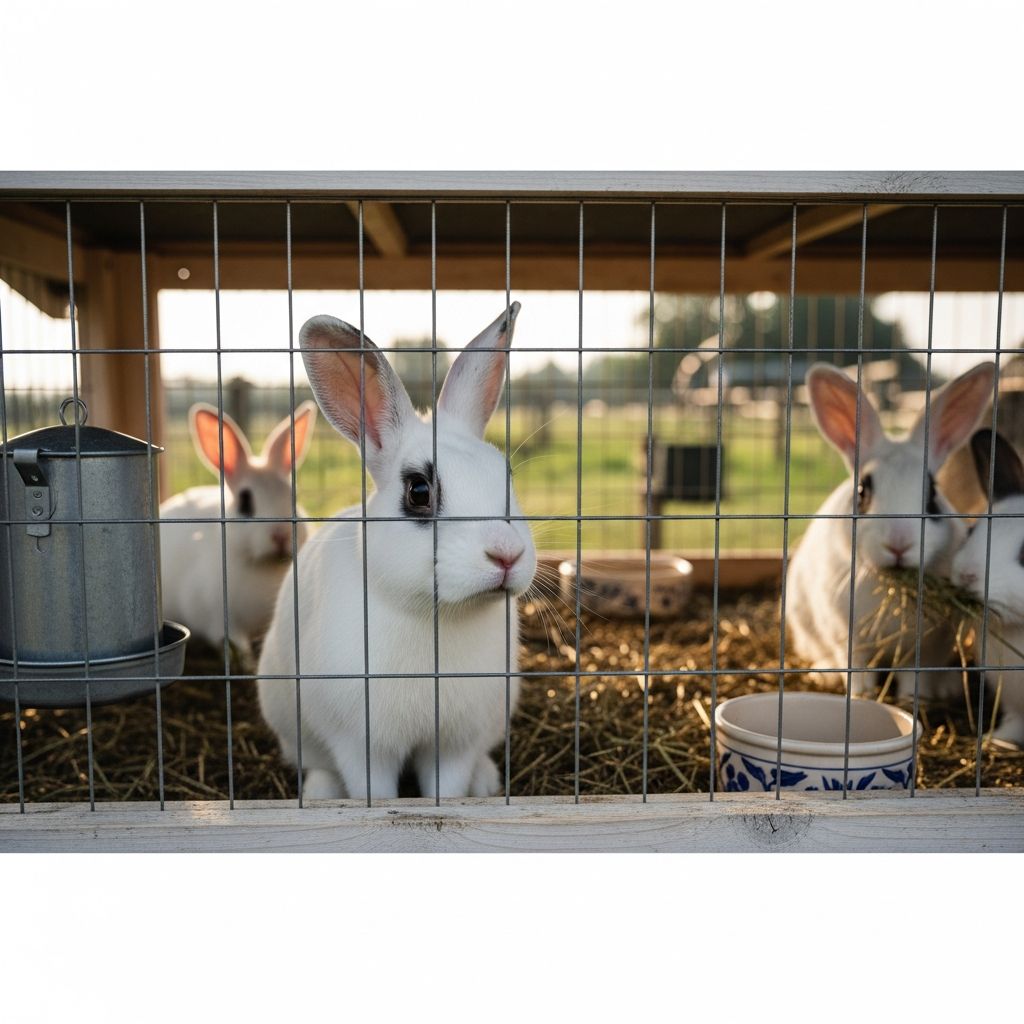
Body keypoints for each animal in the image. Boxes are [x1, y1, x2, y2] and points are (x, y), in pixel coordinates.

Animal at [159, 400, 317, 659]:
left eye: (293, 499)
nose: (281, 535)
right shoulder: (220, 620)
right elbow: (234, 644)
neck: (263, 566)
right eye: (245, 503)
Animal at [256, 302, 537, 801]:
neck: (435, 616)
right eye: (419, 491)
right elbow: (376, 795)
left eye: (506, 475)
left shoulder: (454, 743)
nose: (506, 555)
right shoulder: (361, 746)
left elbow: (447, 790)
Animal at [785, 360, 995, 699]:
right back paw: (823, 675)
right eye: (861, 491)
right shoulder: (850, 641)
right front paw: (861, 696)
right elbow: (857, 671)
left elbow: (912, 678)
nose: (899, 544)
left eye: (932, 494)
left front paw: (912, 699)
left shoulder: (926, 648)